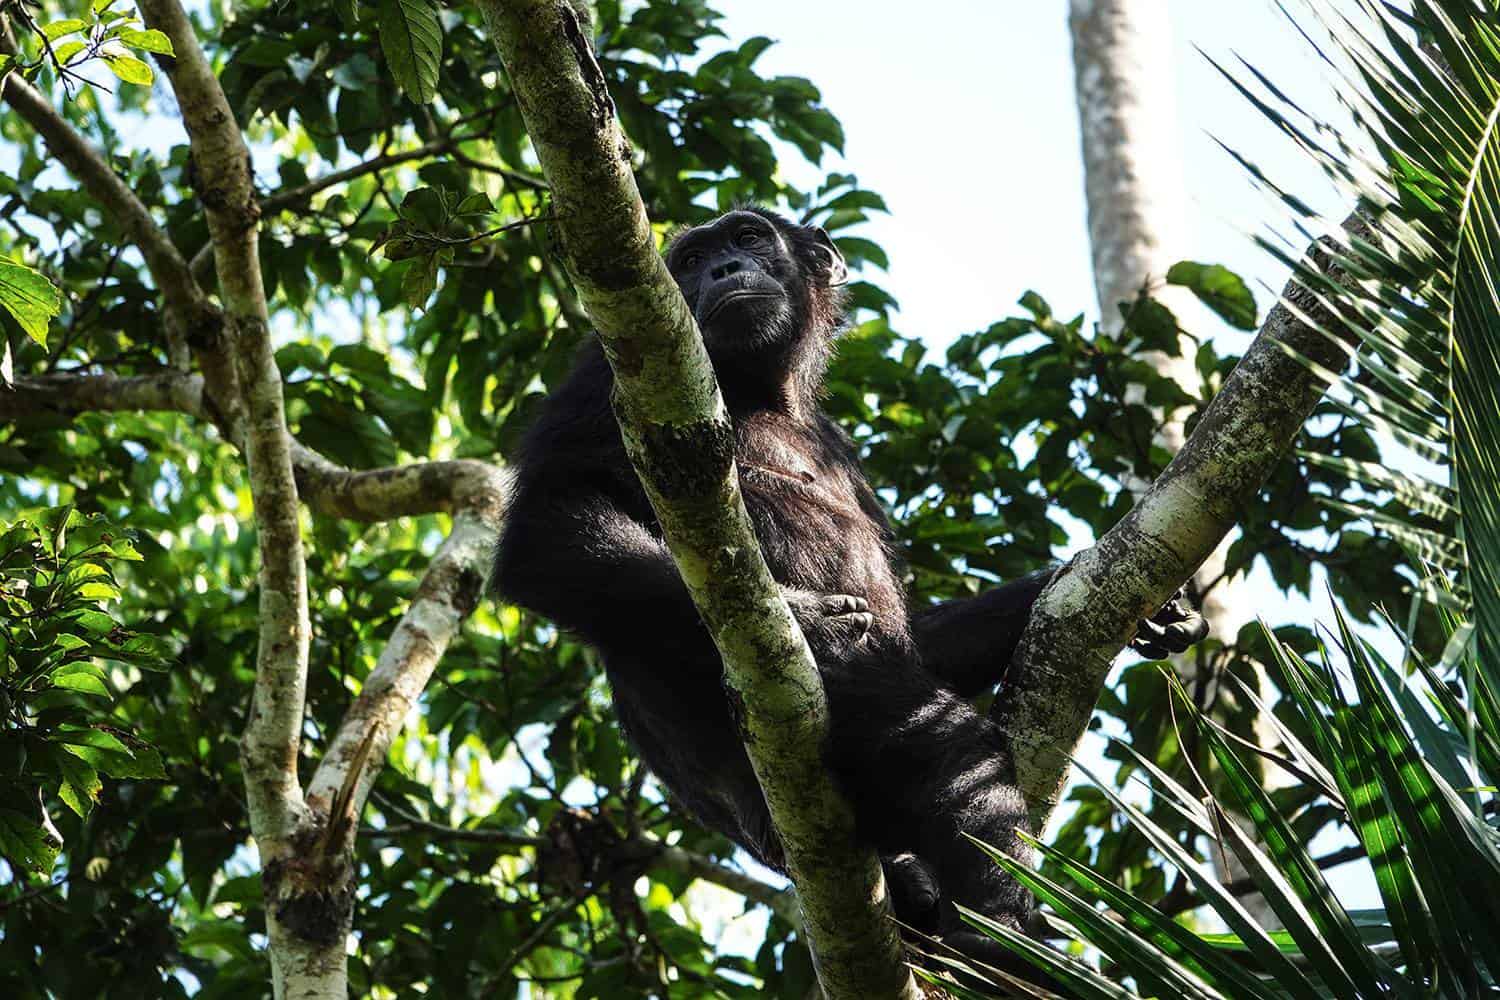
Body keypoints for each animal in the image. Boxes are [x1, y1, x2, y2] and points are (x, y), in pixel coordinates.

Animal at [492, 209, 1206, 971]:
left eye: (747, 238)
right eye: (688, 259)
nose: (720, 269)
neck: (762, 388)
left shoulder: (844, 450)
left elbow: (916, 634)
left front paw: (1126, 602)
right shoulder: (603, 373)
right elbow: (550, 520)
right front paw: (808, 620)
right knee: (944, 748)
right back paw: (1000, 932)